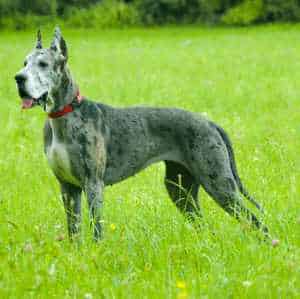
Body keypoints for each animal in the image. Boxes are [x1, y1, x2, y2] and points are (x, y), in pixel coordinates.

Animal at [14, 28, 268, 241]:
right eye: (24, 63)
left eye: (43, 64)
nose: (18, 78)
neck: (64, 114)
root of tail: (210, 122)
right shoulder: (68, 187)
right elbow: (74, 231)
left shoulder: (93, 184)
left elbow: (96, 228)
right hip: (180, 189)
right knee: (205, 225)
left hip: (219, 183)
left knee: (255, 221)